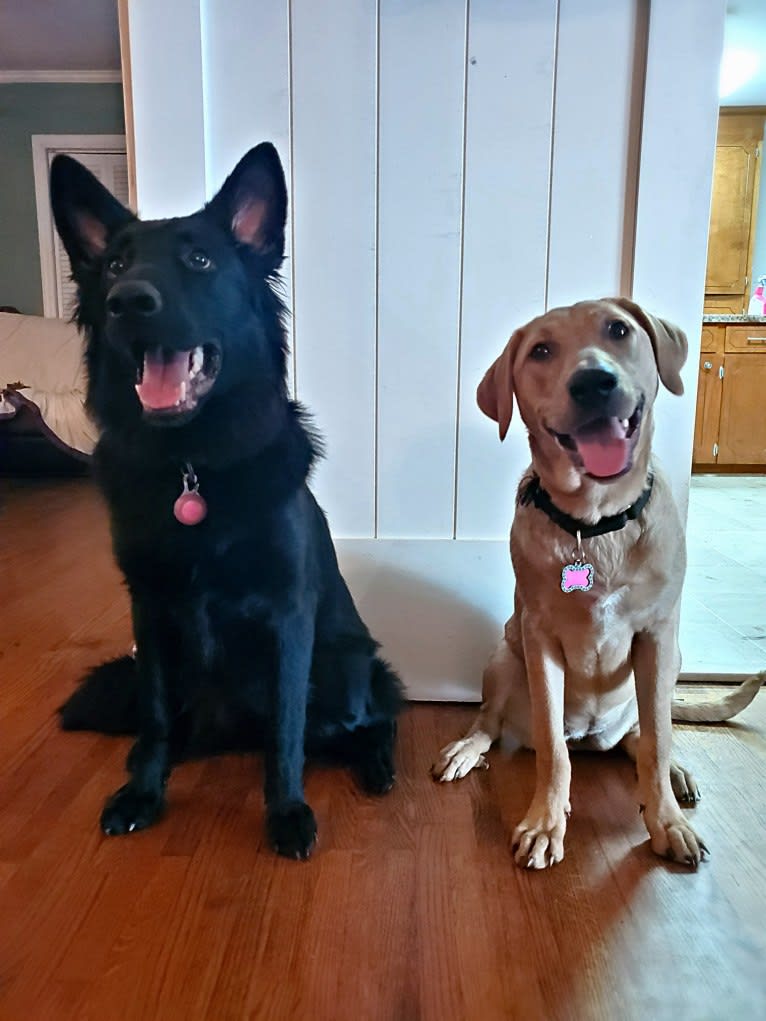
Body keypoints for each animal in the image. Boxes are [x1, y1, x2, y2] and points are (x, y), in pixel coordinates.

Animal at [50, 143, 404, 857]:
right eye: (115, 265)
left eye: (200, 261)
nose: (129, 301)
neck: (193, 468)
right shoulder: (151, 612)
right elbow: (156, 716)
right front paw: (142, 792)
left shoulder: (288, 616)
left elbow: (286, 731)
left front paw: (287, 810)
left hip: (346, 669)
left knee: (373, 722)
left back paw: (377, 766)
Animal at [435, 296, 763, 869]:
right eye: (541, 351)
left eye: (619, 329)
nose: (593, 382)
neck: (595, 523)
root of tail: (592, 737)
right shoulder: (539, 638)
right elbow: (552, 748)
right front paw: (546, 822)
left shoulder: (657, 637)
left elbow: (656, 741)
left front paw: (666, 822)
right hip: (504, 656)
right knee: (493, 724)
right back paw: (467, 749)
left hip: (666, 667)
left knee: (644, 734)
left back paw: (673, 772)